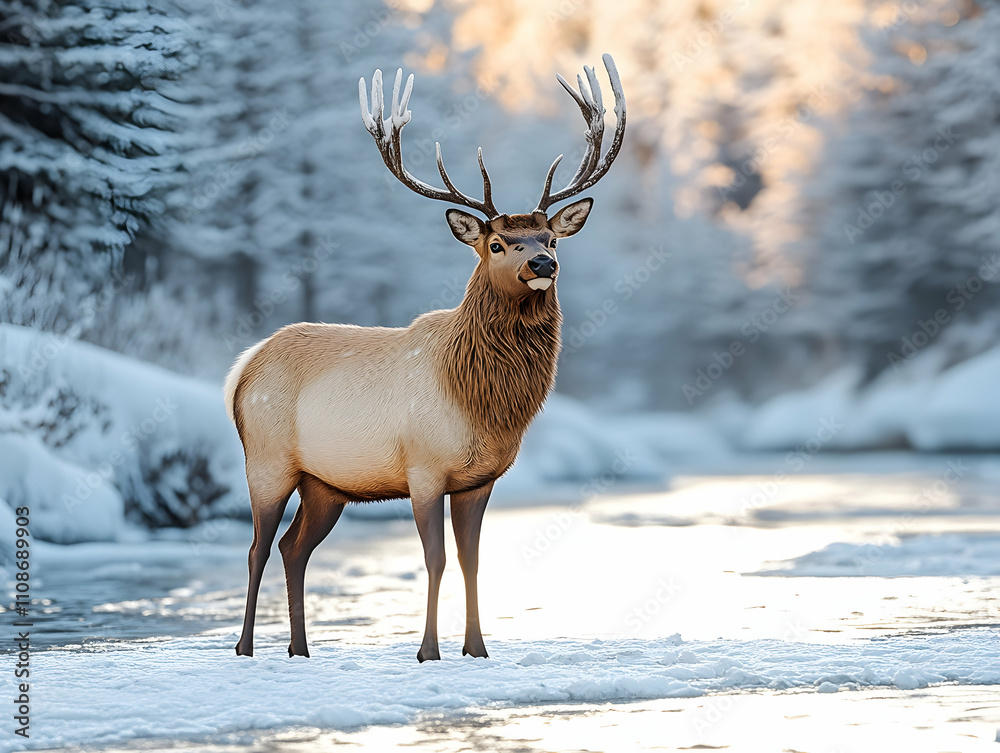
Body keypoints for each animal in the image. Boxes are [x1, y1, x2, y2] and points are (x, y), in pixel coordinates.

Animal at [225, 54, 625, 662]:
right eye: (496, 244)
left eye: (551, 239)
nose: (542, 265)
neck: (481, 400)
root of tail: (241, 369)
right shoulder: (424, 468)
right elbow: (433, 559)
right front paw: (428, 651)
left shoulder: (480, 480)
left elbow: (471, 561)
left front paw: (477, 649)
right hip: (267, 461)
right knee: (257, 547)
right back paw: (246, 648)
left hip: (326, 484)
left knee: (295, 548)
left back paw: (300, 649)